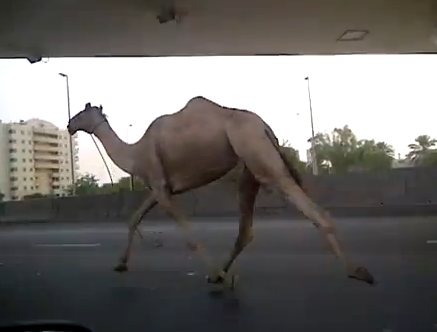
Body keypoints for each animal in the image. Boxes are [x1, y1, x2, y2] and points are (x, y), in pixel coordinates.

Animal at [66, 95, 372, 286]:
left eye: (81, 112)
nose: (69, 125)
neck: (136, 153)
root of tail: (264, 126)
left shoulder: (160, 186)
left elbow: (188, 236)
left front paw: (220, 277)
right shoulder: (160, 187)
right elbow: (133, 218)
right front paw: (120, 264)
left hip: (256, 152)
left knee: (311, 208)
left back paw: (358, 272)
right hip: (249, 167)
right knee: (246, 229)